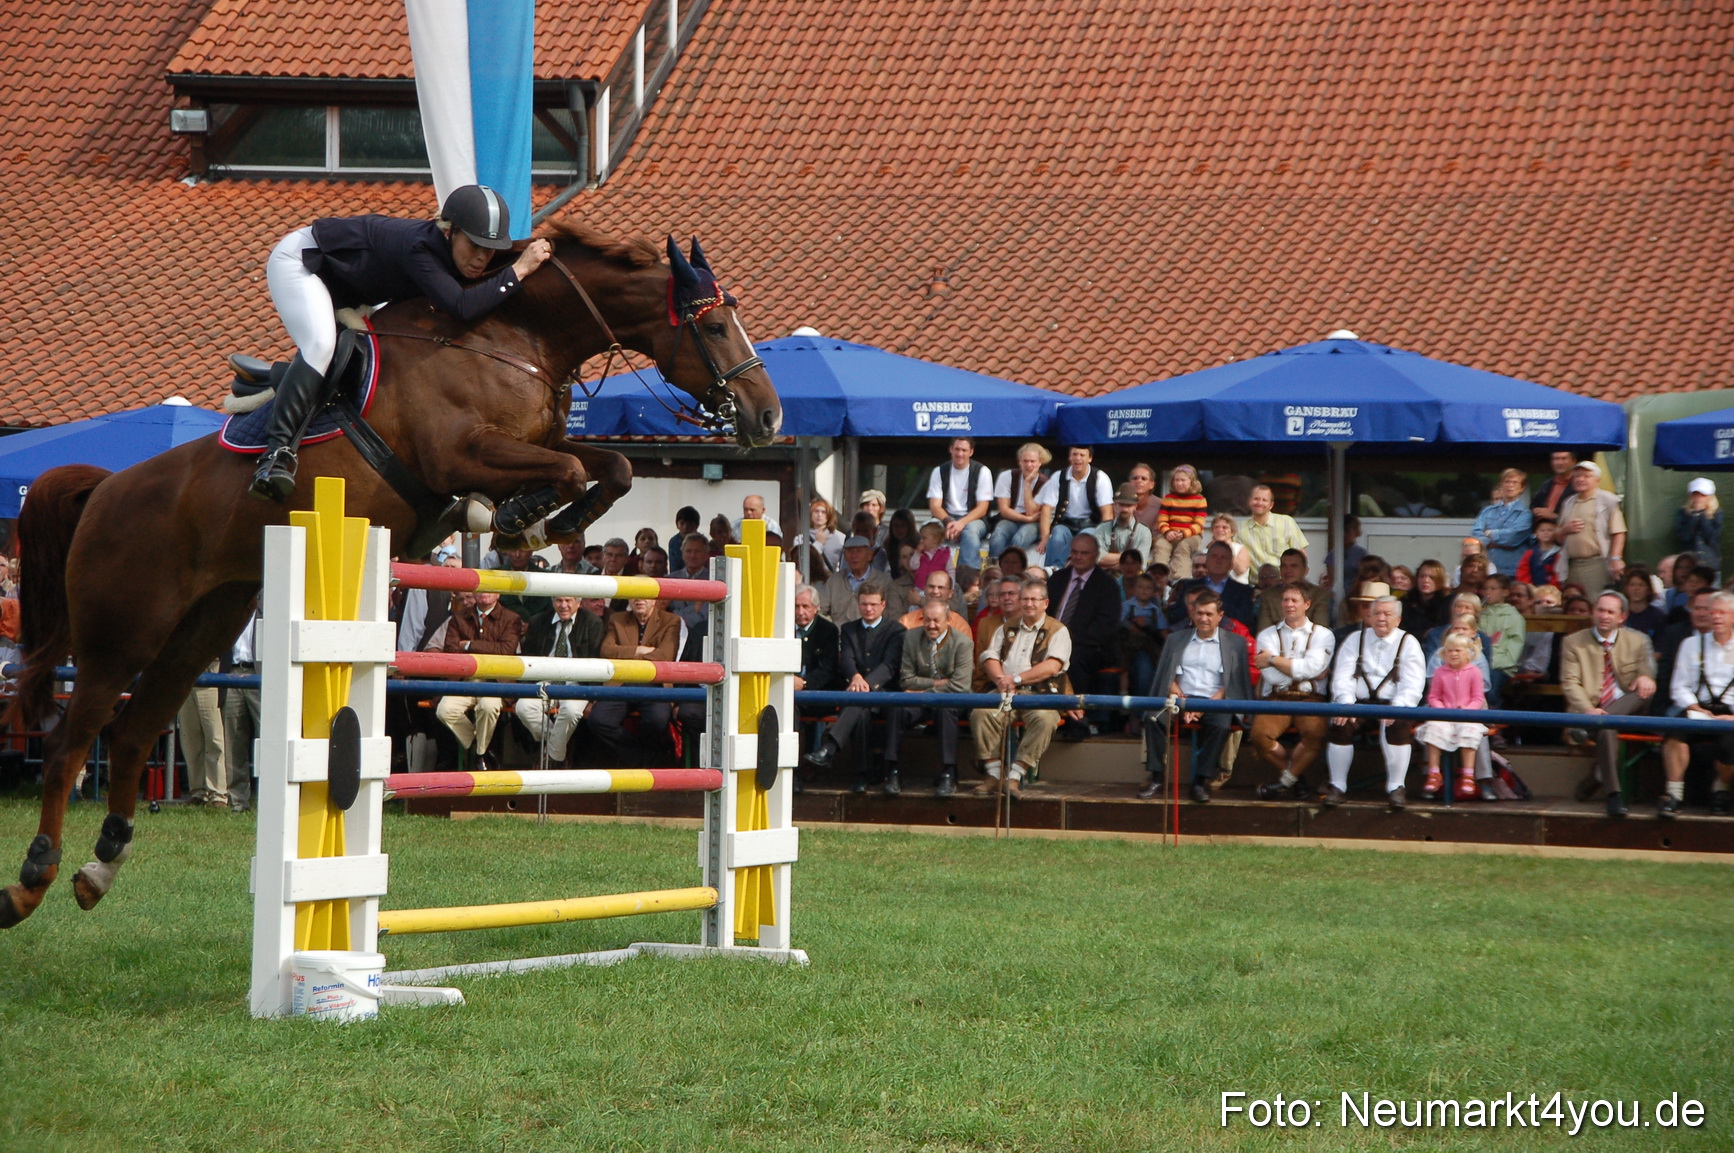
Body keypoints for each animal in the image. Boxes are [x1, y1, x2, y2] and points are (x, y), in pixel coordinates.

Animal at [0, 223, 780, 929]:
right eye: (715, 323)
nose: (768, 417)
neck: (512, 336)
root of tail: (103, 488)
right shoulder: (461, 451)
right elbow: (566, 468)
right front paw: (519, 516)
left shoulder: (534, 440)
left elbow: (607, 465)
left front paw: (539, 522)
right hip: (123, 634)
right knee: (72, 742)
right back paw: (33, 879)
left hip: (201, 629)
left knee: (131, 733)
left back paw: (99, 868)